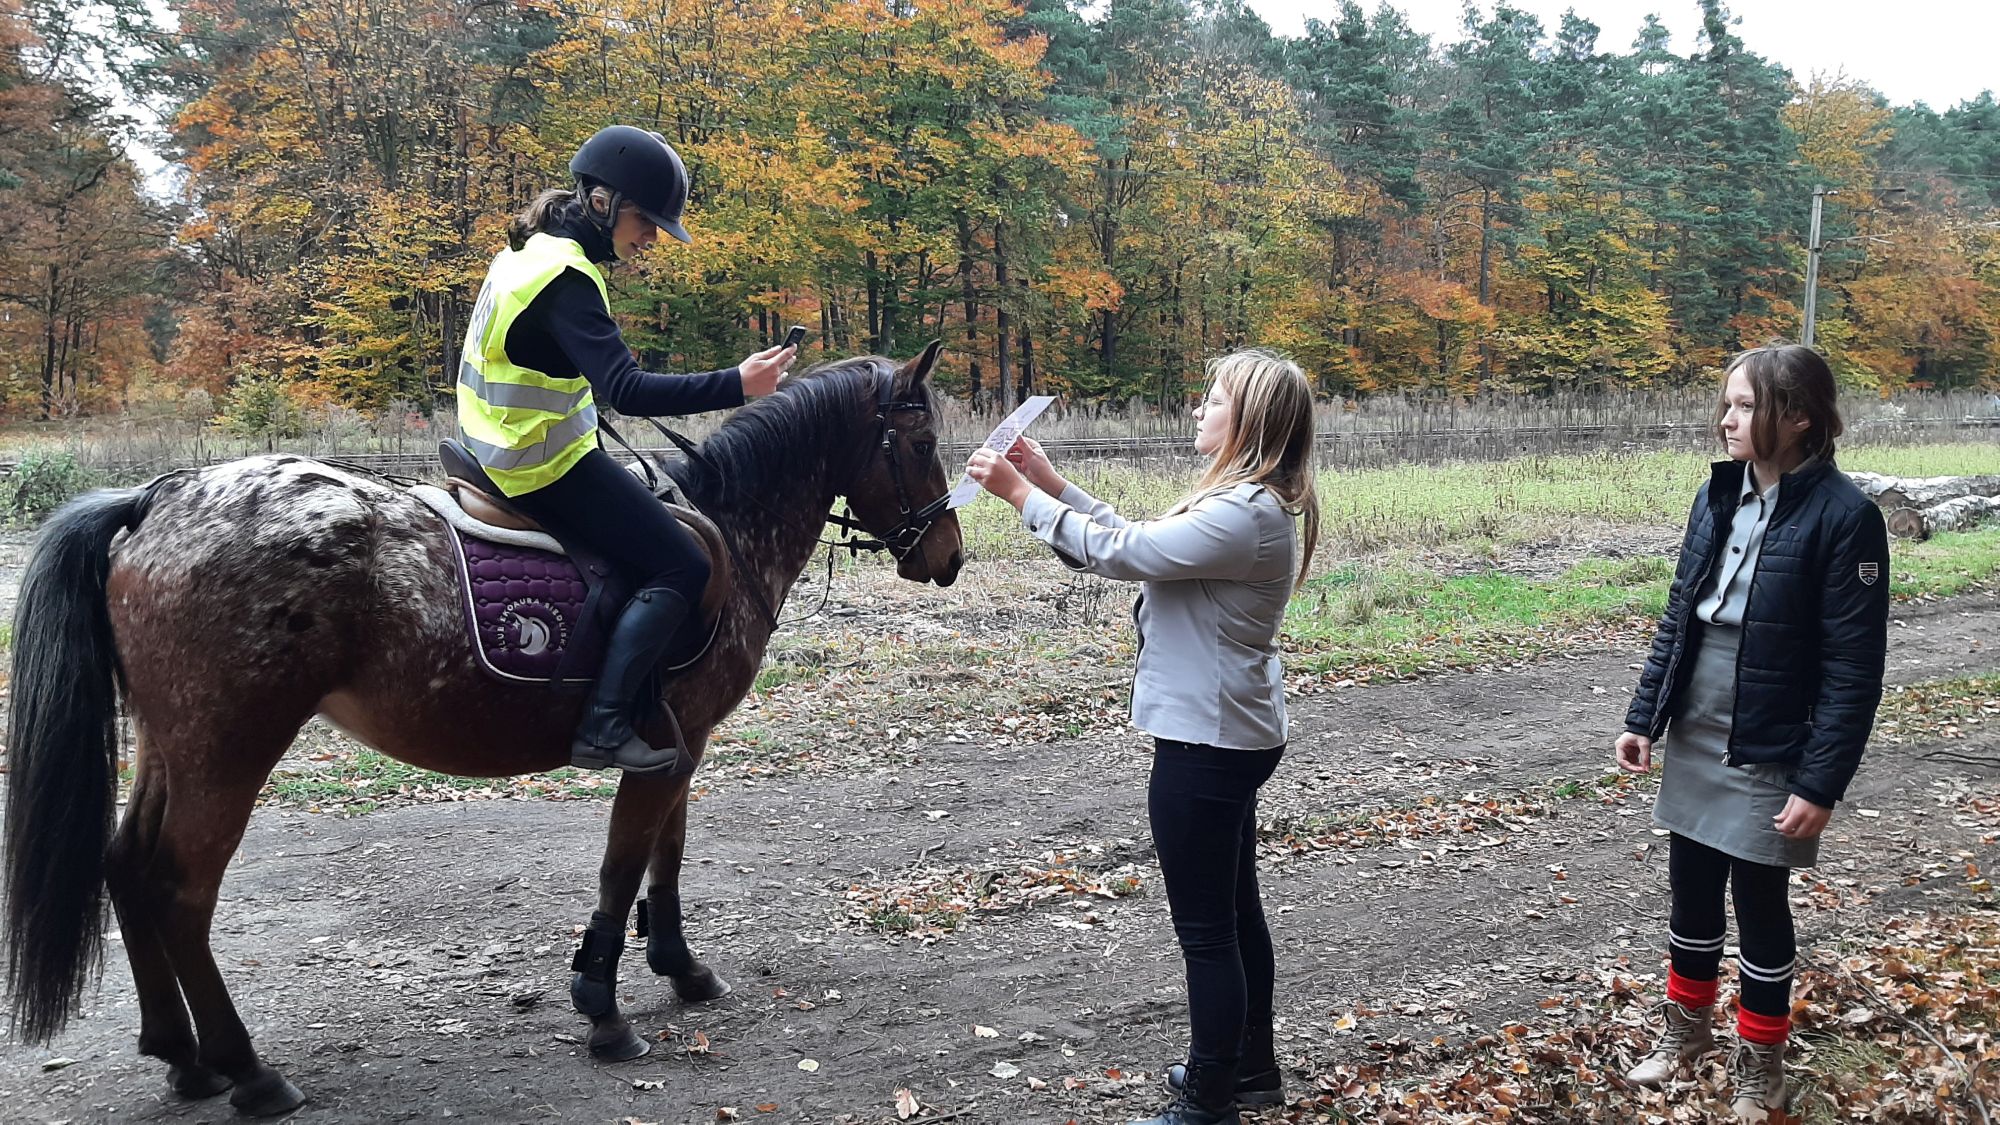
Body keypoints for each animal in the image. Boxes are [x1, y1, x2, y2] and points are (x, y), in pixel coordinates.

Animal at [3, 344, 964, 1112]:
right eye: (921, 446)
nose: (947, 555)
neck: (725, 531)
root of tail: (155, 499)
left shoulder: (681, 743)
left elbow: (667, 857)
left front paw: (680, 967)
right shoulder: (662, 749)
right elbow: (623, 866)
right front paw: (603, 1008)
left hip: (174, 747)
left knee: (127, 867)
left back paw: (182, 1056)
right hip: (228, 752)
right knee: (179, 891)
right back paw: (247, 1070)